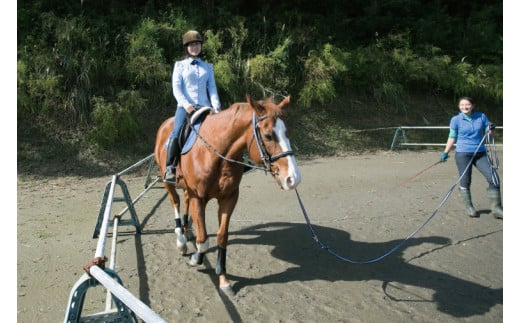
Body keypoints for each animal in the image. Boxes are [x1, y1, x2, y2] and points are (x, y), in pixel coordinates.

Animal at [153, 95, 300, 294]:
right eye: (268, 135)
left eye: (287, 132)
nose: (293, 178)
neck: (215, 153)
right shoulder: (199, 198)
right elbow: (204, 239)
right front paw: (196, 258)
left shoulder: (229, 198)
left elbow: (222, 236)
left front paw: (223, 278)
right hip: (167, 181)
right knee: (175, 201)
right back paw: (181, 240)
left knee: (184, 200)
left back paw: (186, 230)